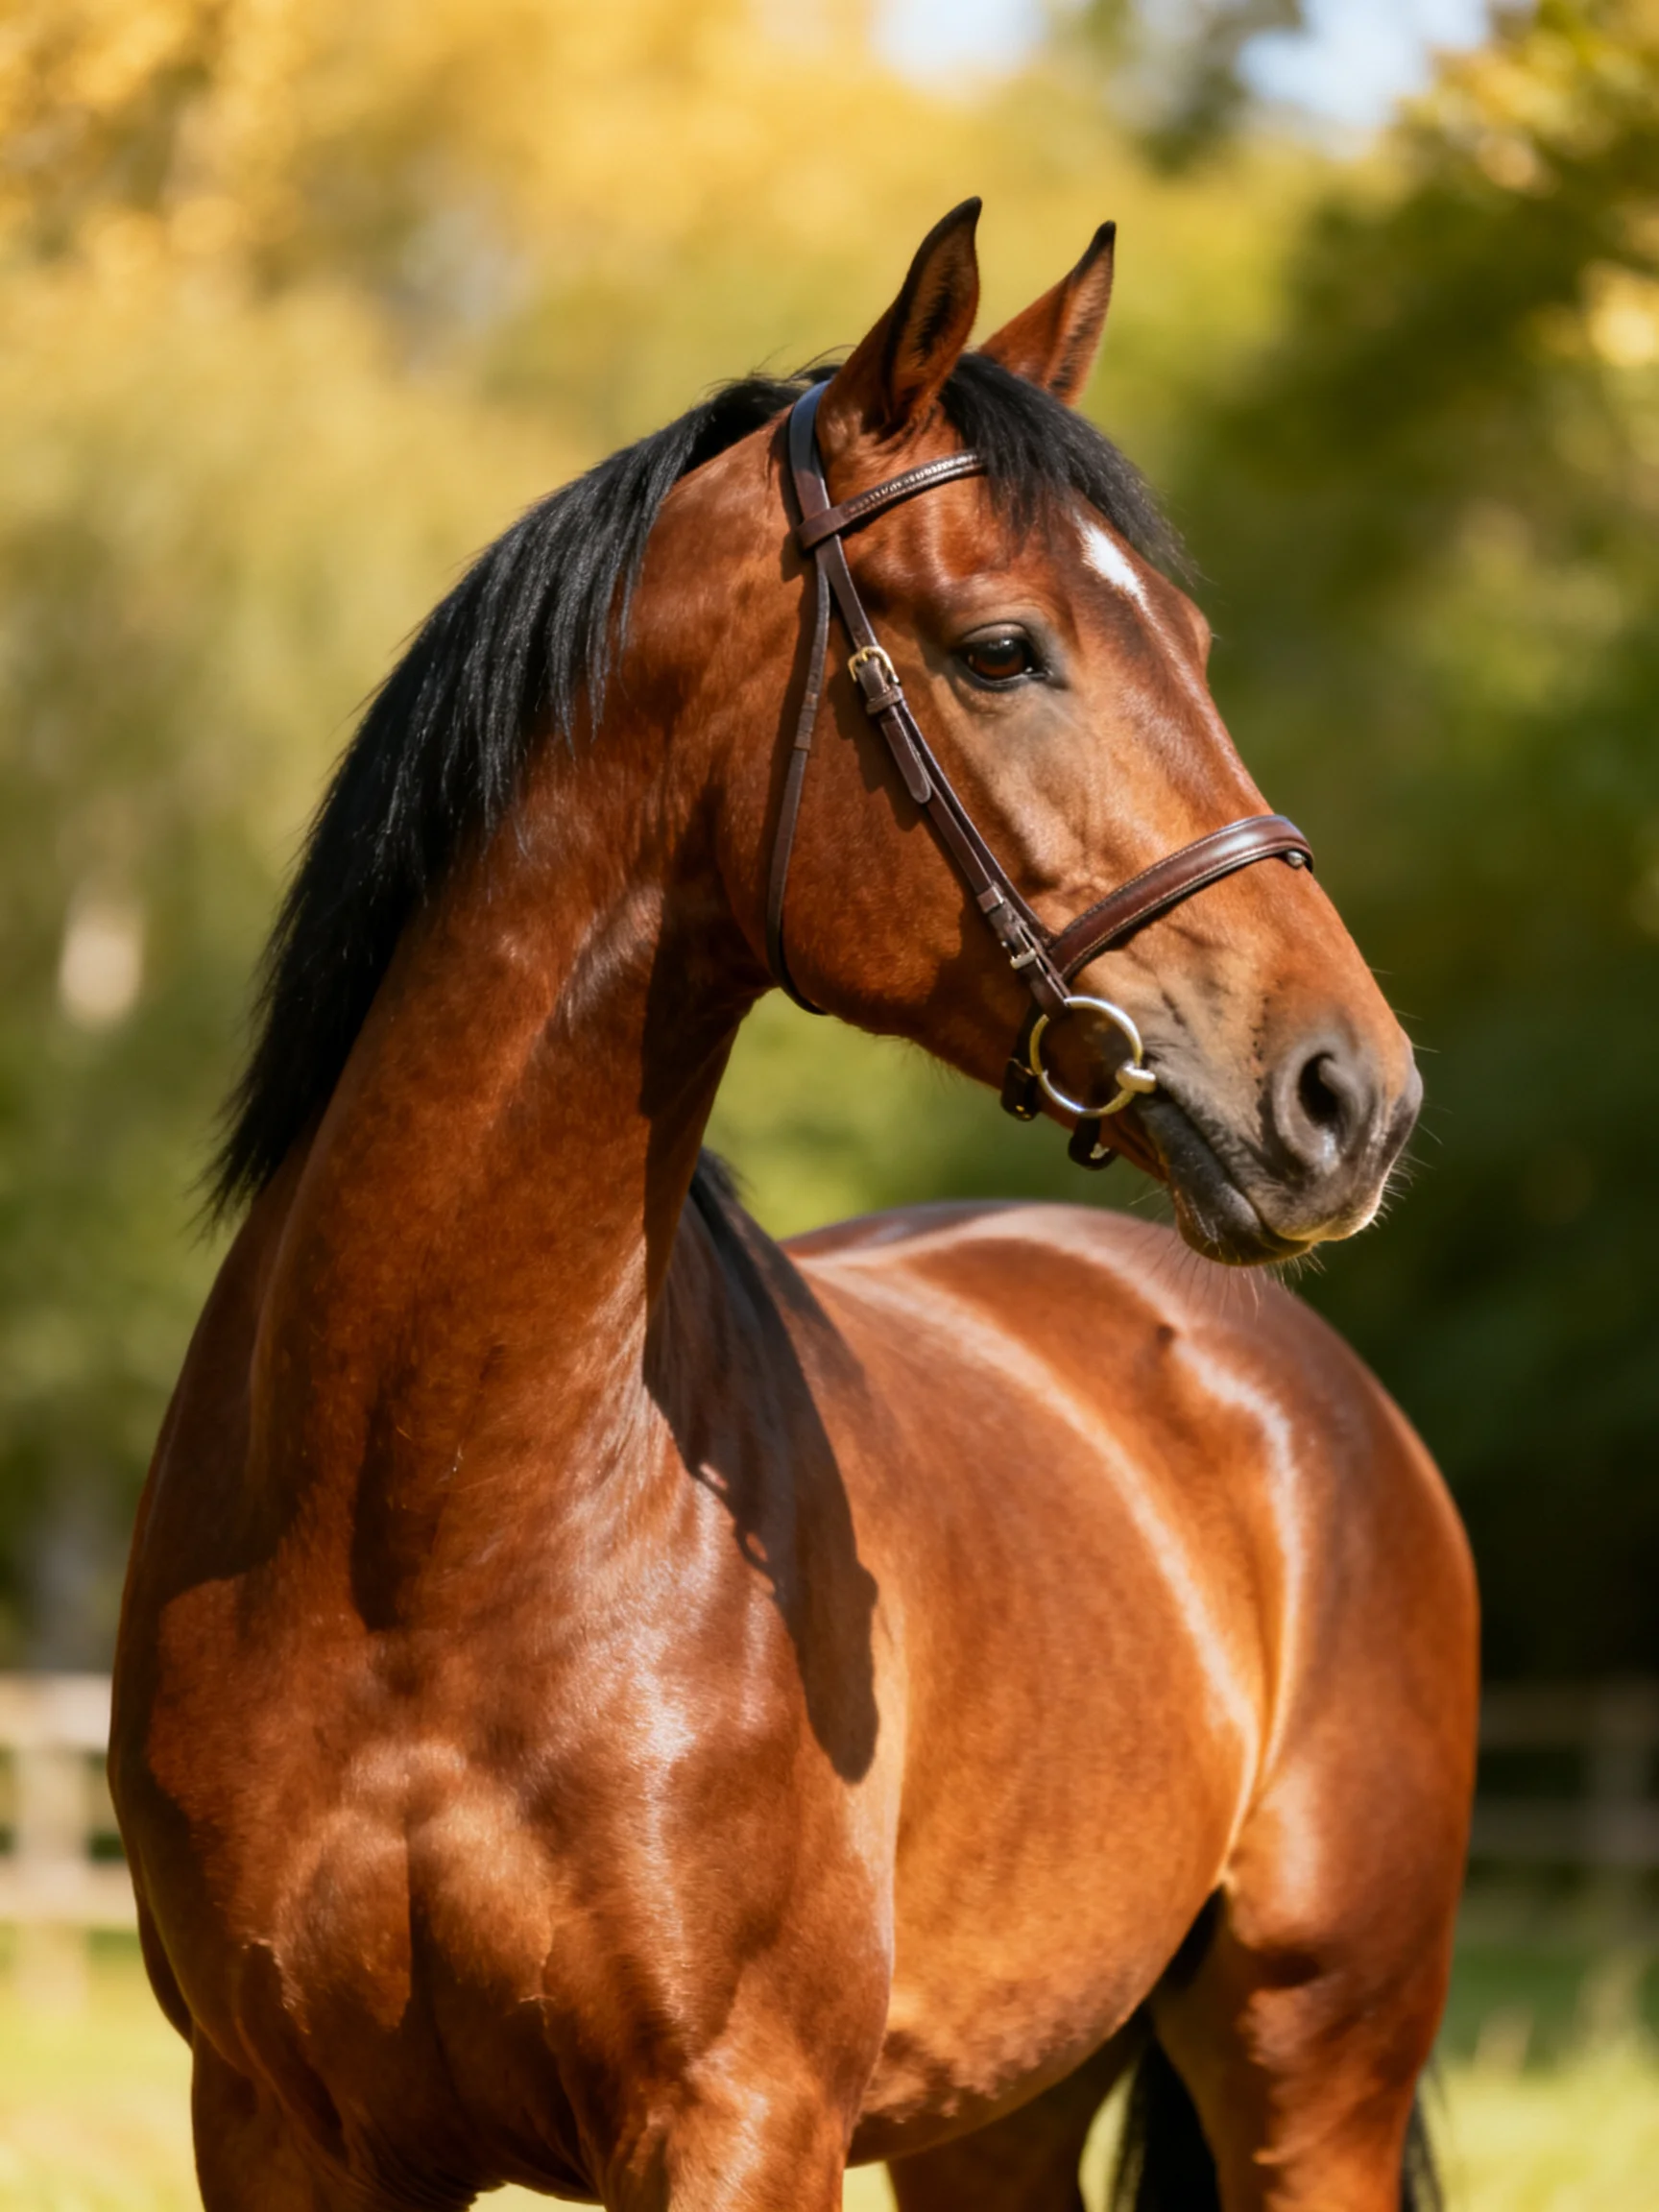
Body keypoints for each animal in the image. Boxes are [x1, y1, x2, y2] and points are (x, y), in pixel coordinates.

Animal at [111, 202, 1477, 2212]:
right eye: (1000, 649)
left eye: (1194, 642)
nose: (1346, 1095)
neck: (409, 1538)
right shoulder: (281, 2126)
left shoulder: (738, 2117)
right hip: (997, 2110)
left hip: (1314, 2069)